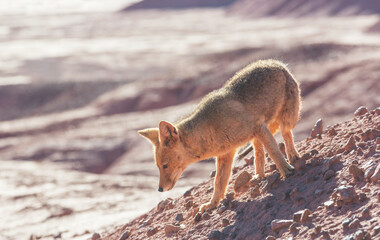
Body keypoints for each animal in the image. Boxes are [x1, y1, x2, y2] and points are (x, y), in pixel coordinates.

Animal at [138, 59, 302, 213]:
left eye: (165, 165)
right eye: (158, 166)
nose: (160, 189)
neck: (208, 130)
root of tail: (276, 63)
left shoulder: (257, 126)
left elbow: (274, 151)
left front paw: (286, 170)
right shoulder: (225, 154)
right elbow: (219, 183)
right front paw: (212, 204)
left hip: (286, 120)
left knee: (286, 135)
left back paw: (292, 156)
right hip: (259, 135)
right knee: (258, 152)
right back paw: (259, 174)